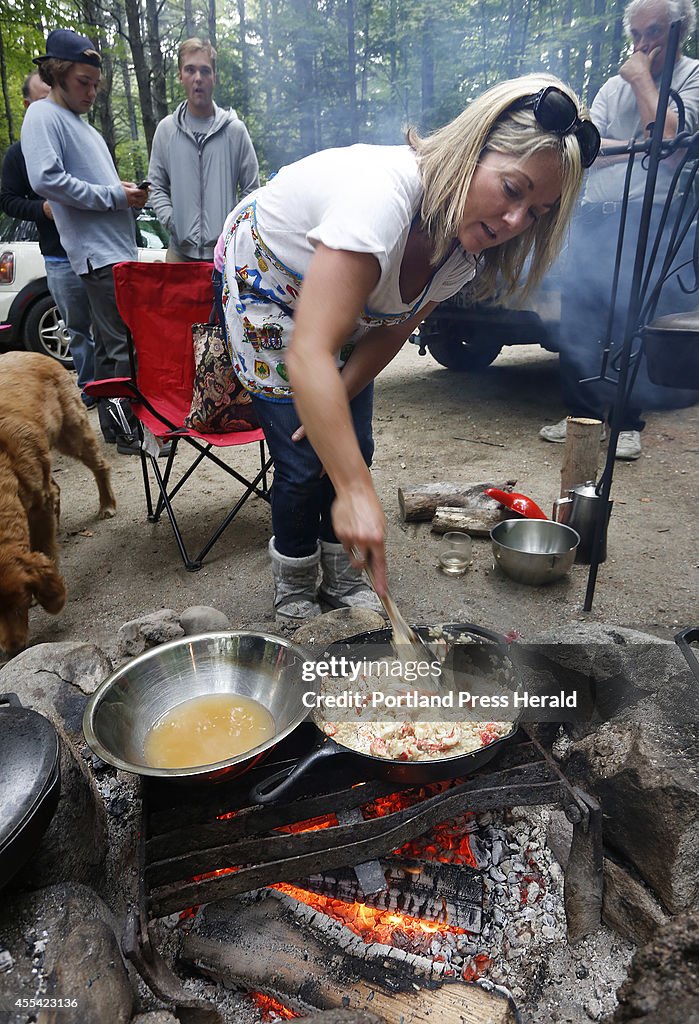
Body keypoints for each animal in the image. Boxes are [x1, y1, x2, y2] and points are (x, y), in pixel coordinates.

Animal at [0, 352, 116, 655]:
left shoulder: (38, 505)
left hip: (73, 432)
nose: (13, 649)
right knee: (56, 488)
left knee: (100, 467)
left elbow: (45, 547)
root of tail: (28, 352)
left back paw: (107, 504)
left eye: (20, 604)